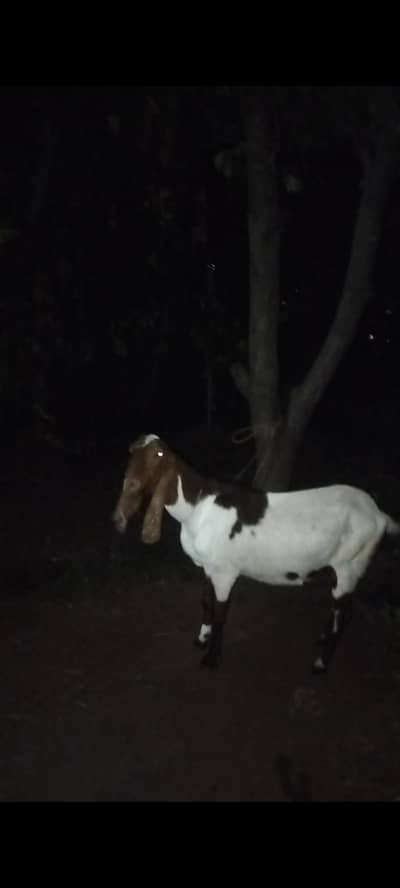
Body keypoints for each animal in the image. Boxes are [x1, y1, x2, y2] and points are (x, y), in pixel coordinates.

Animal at [112, 434, 400, 672]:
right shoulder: (208, 567)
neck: (198, 507)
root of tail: (378, 514)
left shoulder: (225, 572)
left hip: (350, 564)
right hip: (342, 567)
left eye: (158, 455)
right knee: (339, 607)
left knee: (345, 612)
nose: (131, 486)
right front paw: (201, 639)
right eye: (131, 453)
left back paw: (321, 662)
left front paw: (211, 659)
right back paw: (322, 638)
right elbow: (205, 603)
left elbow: (221, 612)